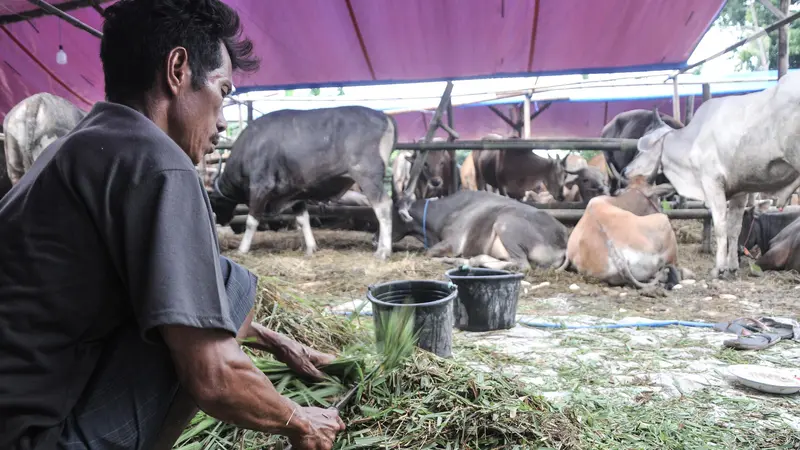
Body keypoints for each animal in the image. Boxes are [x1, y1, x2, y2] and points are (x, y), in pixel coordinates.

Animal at [211, 106, 398, 260]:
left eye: (214, 202)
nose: (222, 221)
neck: (251, 147)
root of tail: (383, 116)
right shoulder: (295, 194)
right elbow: (303, 220)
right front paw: (311, 248)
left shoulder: (260, 188)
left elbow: (251, 221)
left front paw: (242, 249)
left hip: (367, 176)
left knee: (383, 206)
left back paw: (383, 251)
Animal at [392, 190, 568, 270]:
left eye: (391, 213)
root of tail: (564, 242)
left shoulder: (454, 242)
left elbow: (427, 253)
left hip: (505, 224)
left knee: (522, 264)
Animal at [624, 72, 800, 280]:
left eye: (641, 150)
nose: (626, 170)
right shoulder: (740, 191)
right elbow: (734, 229)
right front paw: (732, 267)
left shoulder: (713, 184)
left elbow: (721, 228)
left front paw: (719, 269)